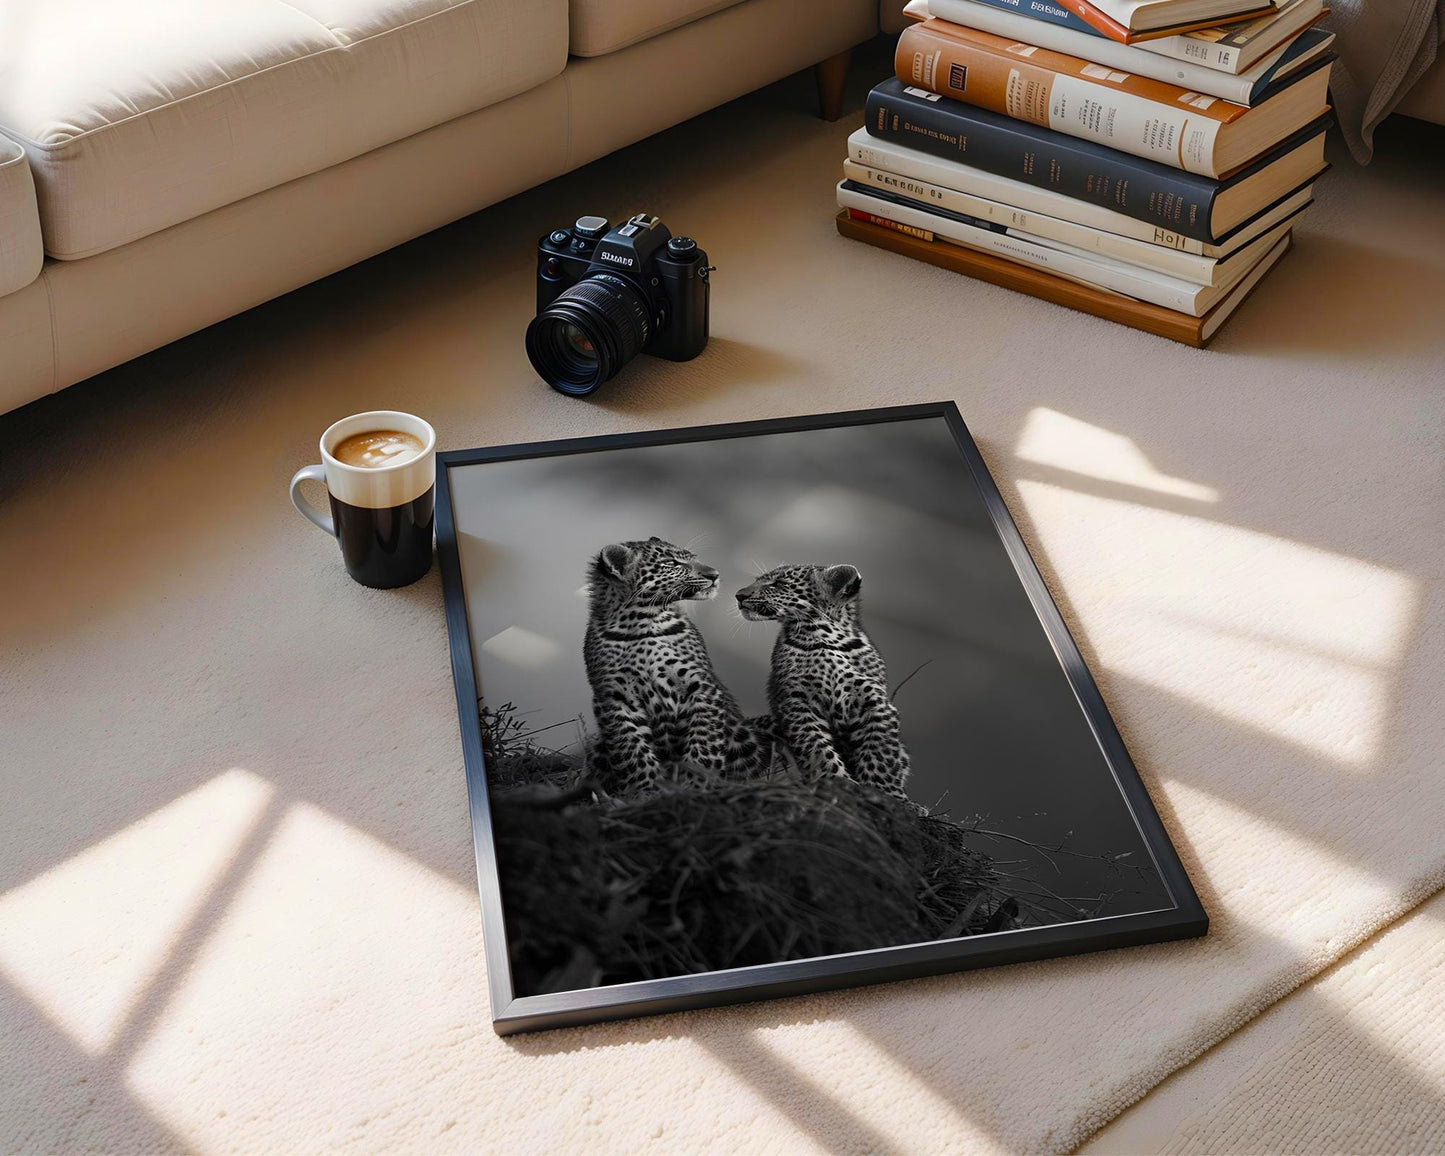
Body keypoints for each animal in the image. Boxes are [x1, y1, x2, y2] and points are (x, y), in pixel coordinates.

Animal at [583, 537, 766, 794]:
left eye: (692, 557)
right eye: (671, 563)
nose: (715, 574)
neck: (642, 623)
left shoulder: (701, 686)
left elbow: (704, 741)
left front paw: (695, 785)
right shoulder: (613, 698)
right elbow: (632, 751)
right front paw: (646, 792)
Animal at [735, 563, 910, 797]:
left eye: (778, 584)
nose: (739, 595)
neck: (822, 636)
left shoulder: (875, 703)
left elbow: (881, 754)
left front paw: (889, 794)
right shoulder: (796, 702)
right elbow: (816, 748)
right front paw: (837, 782)